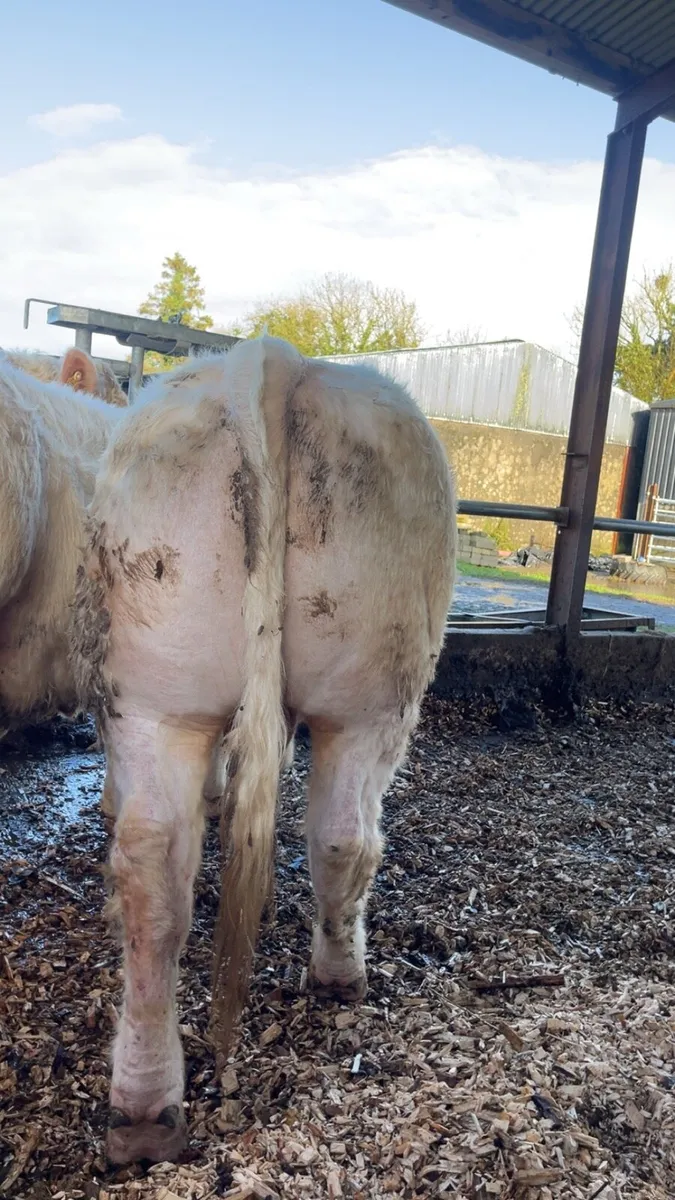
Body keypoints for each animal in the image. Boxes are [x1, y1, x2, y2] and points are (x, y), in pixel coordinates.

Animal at [71, 335, 456, 1165]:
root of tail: (272, 358)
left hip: (158, 689)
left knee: (156, 864)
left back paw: (146, 1108)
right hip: (364, 692)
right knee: (338, 836)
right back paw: (334, 979)